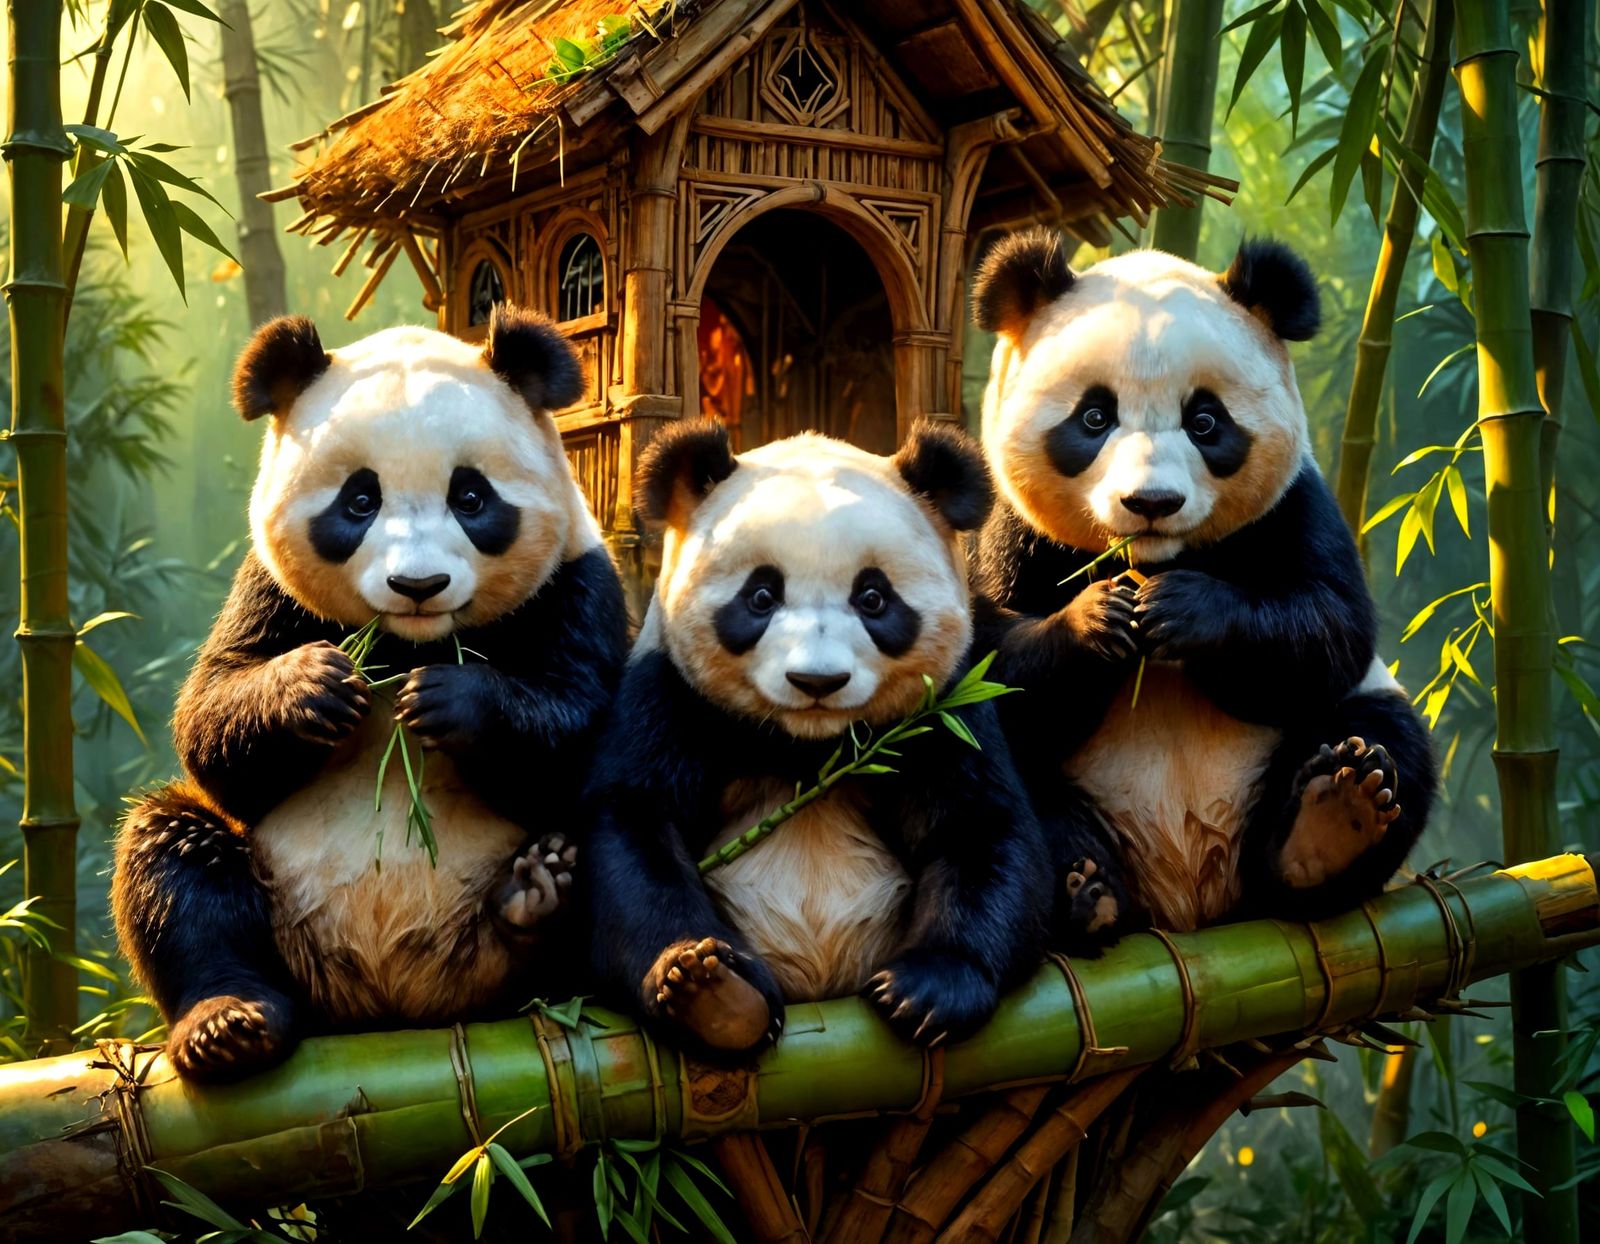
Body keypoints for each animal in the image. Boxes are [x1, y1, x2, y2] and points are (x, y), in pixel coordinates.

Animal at [112, 306, 630, 1080]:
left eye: (470, 497)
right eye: (359, 500)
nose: (418, 585)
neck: (408, 642)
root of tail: (391, 1003)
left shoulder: (576, 584)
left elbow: (580, 728)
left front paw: (451, 700)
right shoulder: (267, 591)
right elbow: (213, 722)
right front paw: (315, 687)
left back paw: (535, 897)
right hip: (277, 920)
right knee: (176, 859)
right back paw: (228, 1022)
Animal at [587, 422, 1049, 1057]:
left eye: (873, 597)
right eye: (761, 596)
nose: (816, 681)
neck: (808, 746)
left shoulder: (945, 710)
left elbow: (979, 825)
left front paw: (927, 991)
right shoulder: (671, 694)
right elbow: (635, 823)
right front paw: (702, 982)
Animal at [970, 231, 1435, 938]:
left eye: (1206, 421)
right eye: (1095, 417)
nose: (1151, 502)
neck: (1156, 557)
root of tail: (1192, 898)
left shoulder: (1295, 504)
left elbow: (1331, 628)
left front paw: (1183, 610)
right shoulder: (1013, 530)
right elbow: (994, 662)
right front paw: (1097, 620)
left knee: (1386, 740)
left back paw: (1330, 821)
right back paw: (1087, 892)